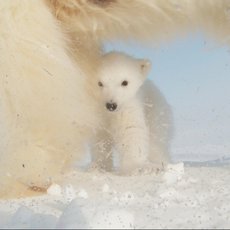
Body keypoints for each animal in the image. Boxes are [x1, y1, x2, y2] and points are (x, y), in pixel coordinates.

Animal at [0, 0, 229, 198]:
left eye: (124, 82)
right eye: (100, 83)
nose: (111, 104)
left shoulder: (129, 108)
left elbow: (131, 132)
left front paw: (139, 168)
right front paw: (97, 168)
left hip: (156, 110)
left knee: (157, 139)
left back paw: (162, 164)